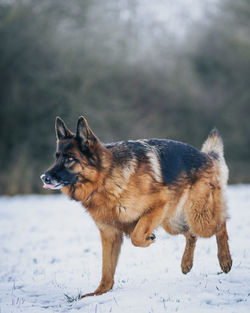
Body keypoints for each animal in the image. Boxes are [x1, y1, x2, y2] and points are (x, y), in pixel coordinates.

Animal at [40, 116, 232, 296]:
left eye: (70, 159)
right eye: (56, 157)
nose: (44, 177)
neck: (105, 178)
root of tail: (207, 157)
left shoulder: (157, 205)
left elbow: (136, 236)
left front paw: (148, 239)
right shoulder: (110, 234)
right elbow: (106, 269)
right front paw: (99, 293)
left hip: (199, 219)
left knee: (220, 224)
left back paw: (225, 260)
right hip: (172, 222)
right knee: (190, 234)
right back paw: (186, 263)